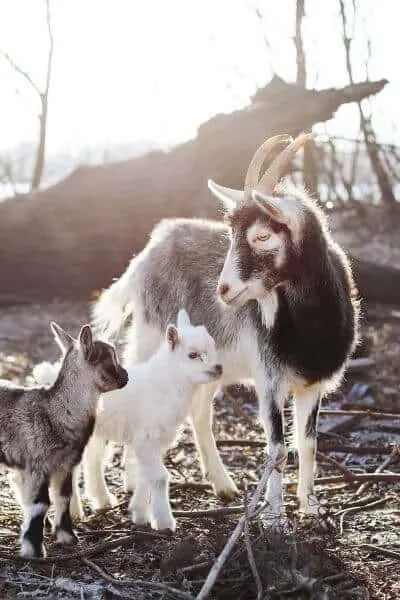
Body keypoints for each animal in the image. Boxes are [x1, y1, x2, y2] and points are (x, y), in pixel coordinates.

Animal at [0, 322, 128, 556]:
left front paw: (68, 537)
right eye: (111, 359)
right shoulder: (38, 464)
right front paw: (34, 550)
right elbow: (40, 504)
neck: (55, 412)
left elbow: (64, 497)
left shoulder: (67, 464)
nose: (126, 376)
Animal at [33, 310, 222, 528]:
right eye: (192, 355)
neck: (166, 383)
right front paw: (164, 522)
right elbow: (159, 477)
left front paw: (140, 514)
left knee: (92, 459)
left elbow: (144, 474)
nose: (218, 368)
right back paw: (74, 513)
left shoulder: (155, 440)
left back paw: (101, 501)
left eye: (213, 346)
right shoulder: (147, 437)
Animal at [91, 135, 360, 516]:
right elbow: (277, 448)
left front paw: (310, 506)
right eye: (230, 235)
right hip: (151, 336)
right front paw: (274, 514)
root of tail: (148, 252)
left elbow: (308, 443)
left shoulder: (312, 383)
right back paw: (114, 489)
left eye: (262, 236)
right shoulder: (269, 380)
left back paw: (222, 485)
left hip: (203, 365)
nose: (224, 290)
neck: (309, 331)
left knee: (199, 413)